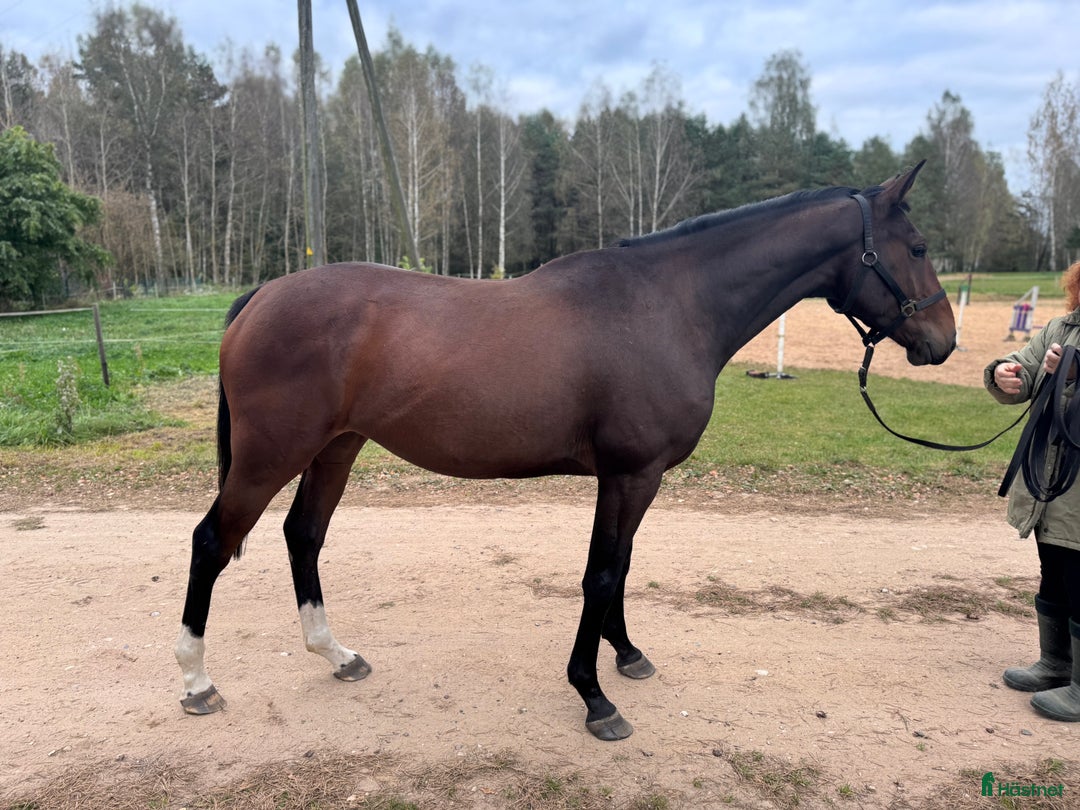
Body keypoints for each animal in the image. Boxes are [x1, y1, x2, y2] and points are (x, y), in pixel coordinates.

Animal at [175, 161, 955, 741]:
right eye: (918, 248)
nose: (943, 341)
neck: (670, 305)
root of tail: (261, 296)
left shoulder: (637, 478)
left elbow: (622, 566)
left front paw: (628, 655)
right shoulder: (630, 474)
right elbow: (601, 574)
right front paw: (595, 697)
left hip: (335, 449)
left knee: (303, 536)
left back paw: (336, 654)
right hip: (270, 457)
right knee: (212, 541)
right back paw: (197, 680)